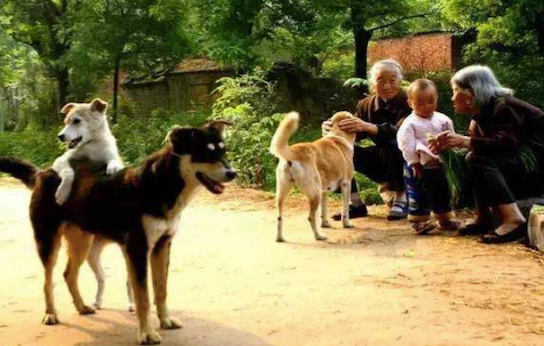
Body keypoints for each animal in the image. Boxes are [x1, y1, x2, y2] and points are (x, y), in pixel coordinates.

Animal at [0, 121, 236, 344]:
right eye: (204, 152)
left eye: (223, 151)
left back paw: (82, 306)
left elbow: (161, 290)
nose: (233, 173)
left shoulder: (162, 246)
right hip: (49, 243)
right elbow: (143, 298)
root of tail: (44, 172)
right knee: (48, 281)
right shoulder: (138, 249)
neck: (161, 184)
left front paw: (165, 321)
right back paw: (50, 314)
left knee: (69, 274)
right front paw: (146, 333)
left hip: (82, 243)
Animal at [270, 112, 356, 242]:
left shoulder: (323, 190)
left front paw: (325, 224)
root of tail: (293, 151)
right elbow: (345, 209)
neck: (337, 135)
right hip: (314, 194)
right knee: (310, 217)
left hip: (282, 192)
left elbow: (323, 211)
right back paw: (319, 236)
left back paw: (280, 238)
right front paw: (347, 224)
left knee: (279, 217)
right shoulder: (346, 184)